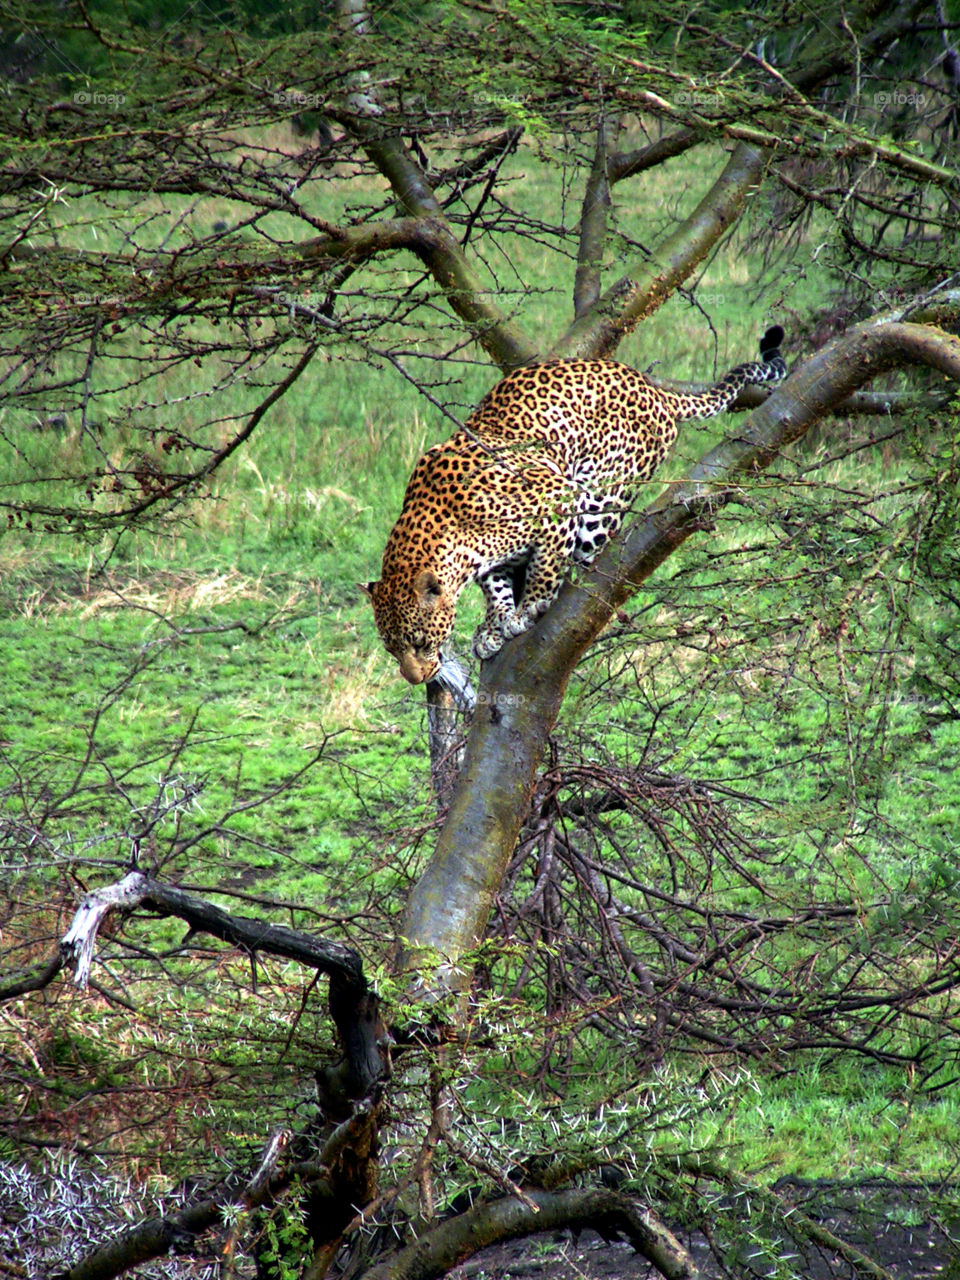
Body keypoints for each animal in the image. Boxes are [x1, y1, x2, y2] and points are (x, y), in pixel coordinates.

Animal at [365, 326, 786, 685]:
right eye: (391, 648)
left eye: (419, 641)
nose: (415, 678)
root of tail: (650, 386)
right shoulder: (486, 555)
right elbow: (496, 585)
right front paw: (493, 624)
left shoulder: (557, 496)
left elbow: (546, 566)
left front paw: (527, 610)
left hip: (602, 493)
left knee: (586, 547)